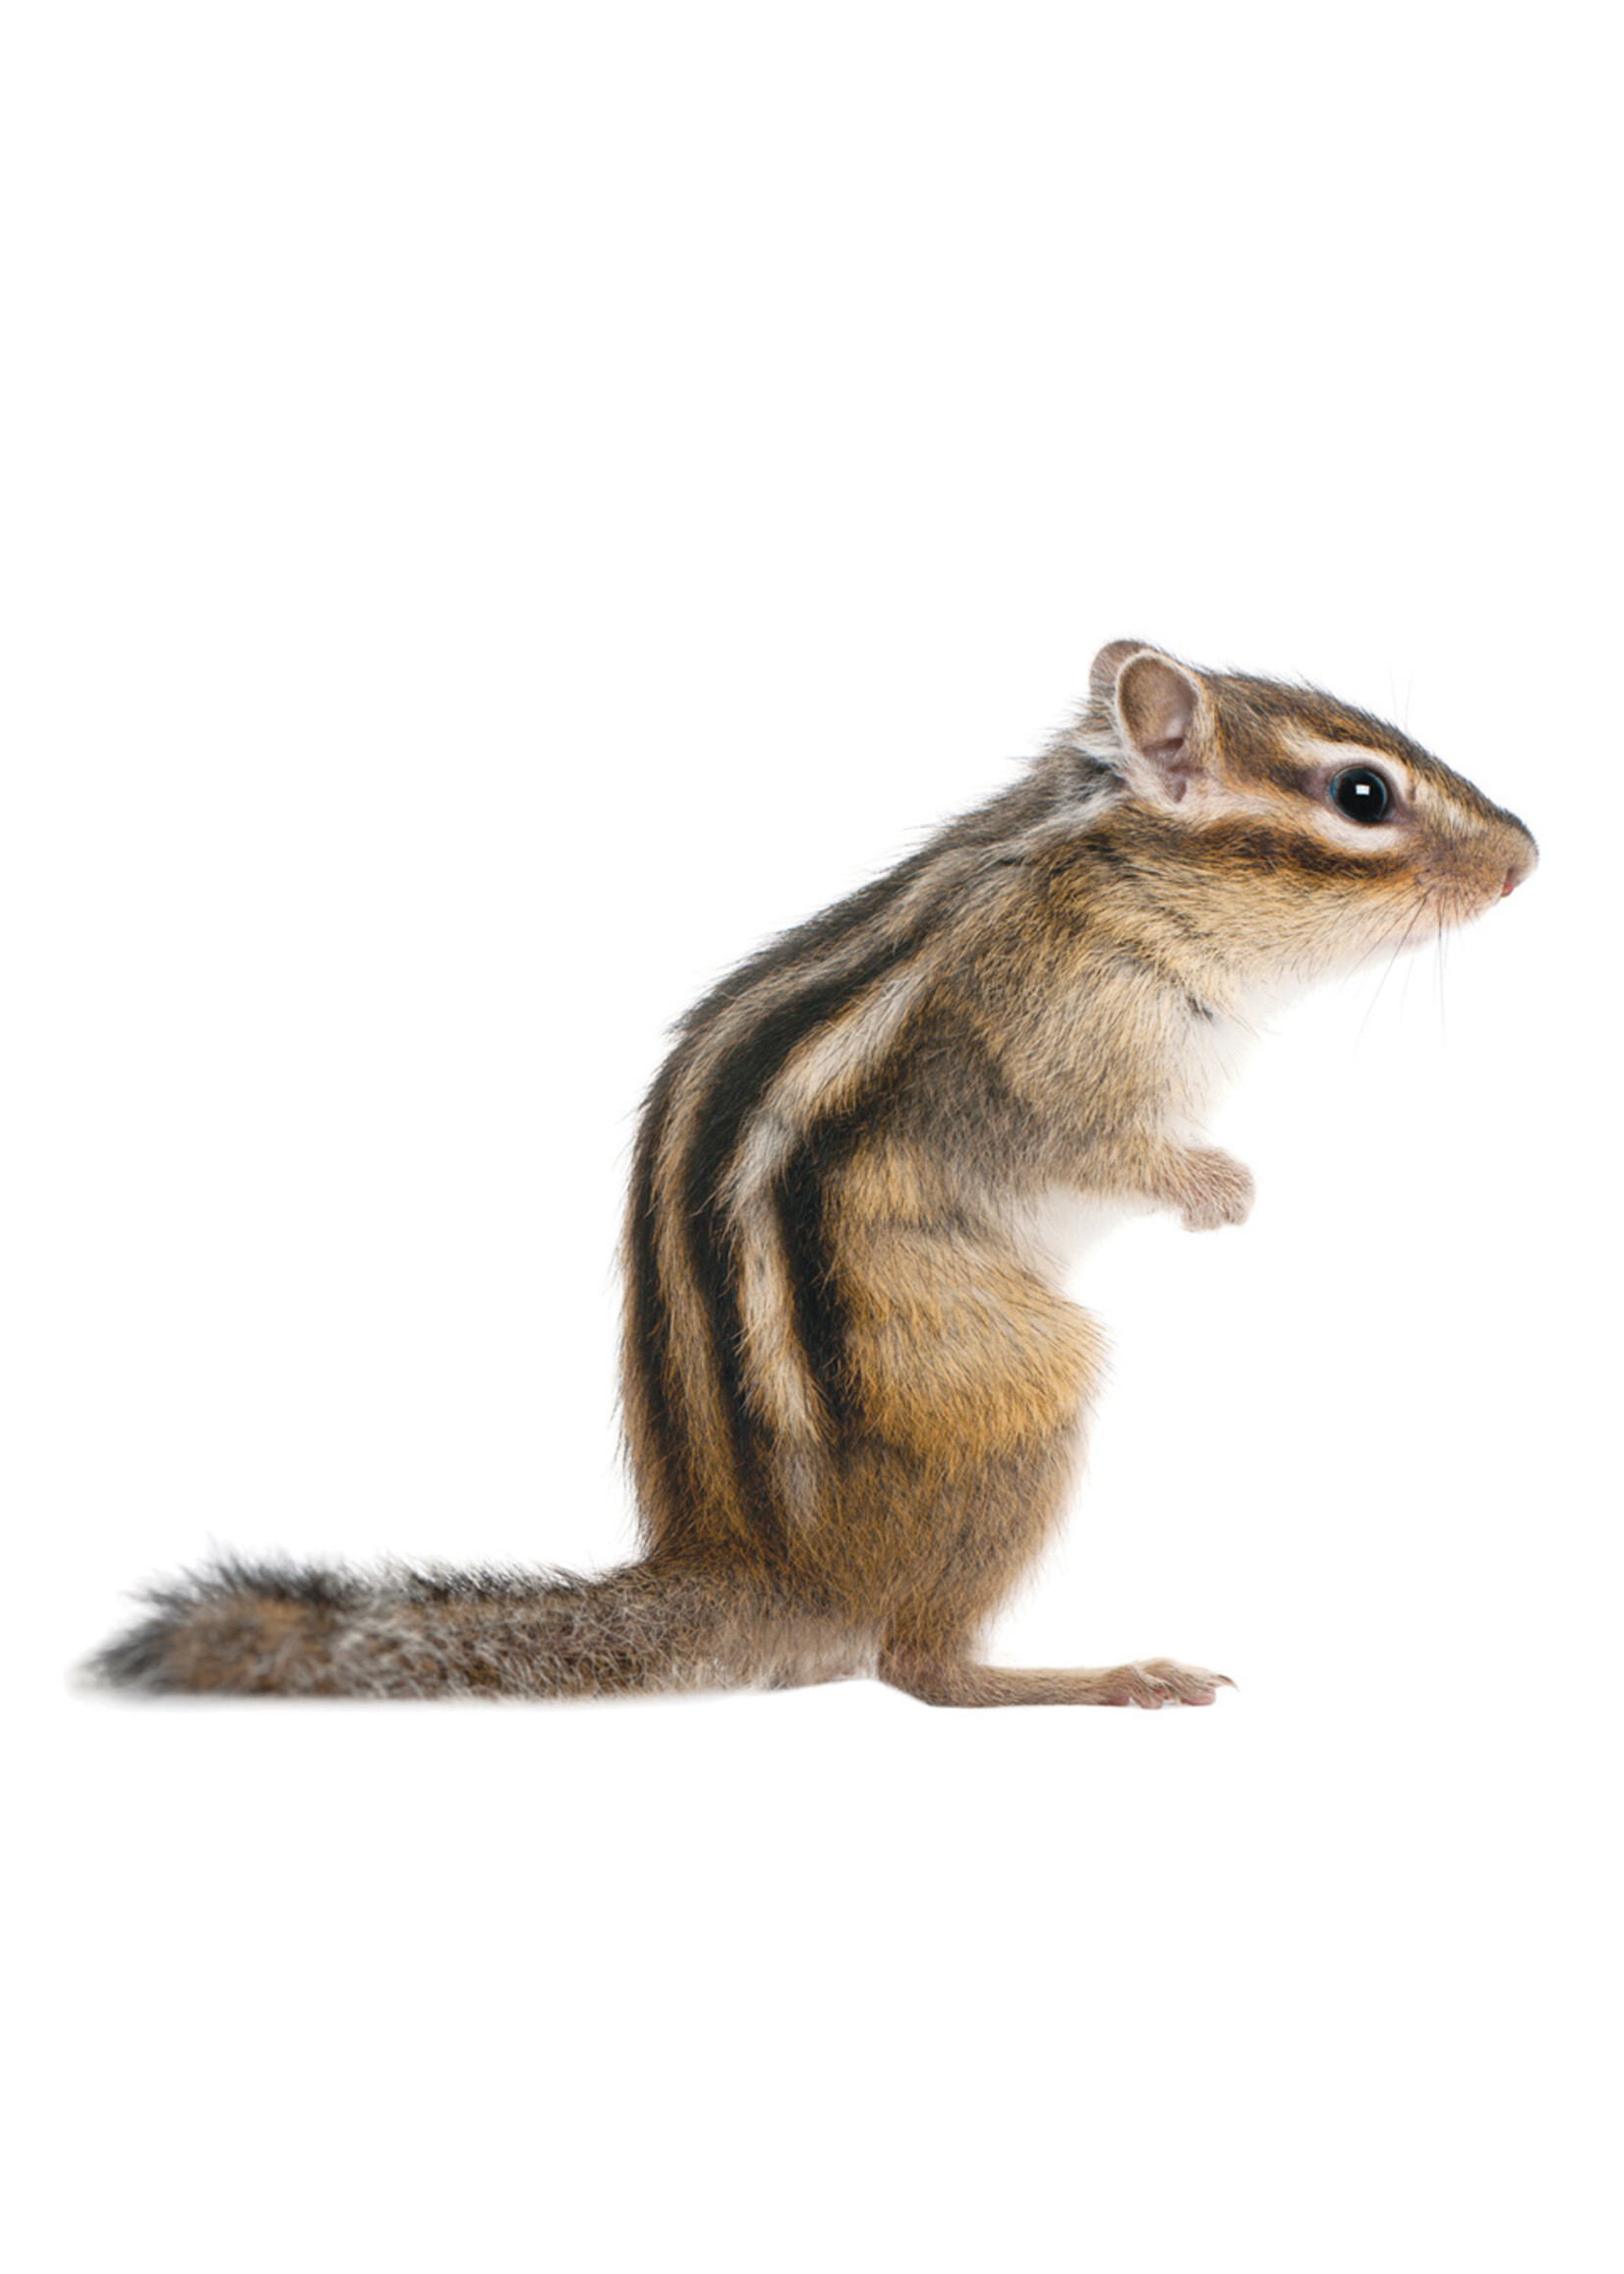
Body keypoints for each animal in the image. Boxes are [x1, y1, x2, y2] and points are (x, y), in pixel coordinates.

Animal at [90, 641, 1536, 1705]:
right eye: (1361, 795)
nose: (1528, 855)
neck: (1102, 869)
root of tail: (760, 1566)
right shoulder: (1051, 1052)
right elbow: (1094, 1146)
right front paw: (1219, 1192)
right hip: (1021, 1385)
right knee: (915, 1667)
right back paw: (1098, 1676)